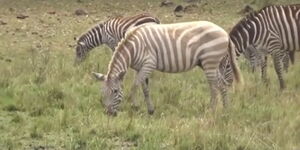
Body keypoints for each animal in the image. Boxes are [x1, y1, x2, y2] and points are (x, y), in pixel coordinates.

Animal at [92, 21, 243, 115]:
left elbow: (135, 85)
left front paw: (135, 106)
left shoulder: (149, 64)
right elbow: (145, 89)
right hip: (211, 63)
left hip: (209, 62)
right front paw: (150, 110)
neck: (133, 47)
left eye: (116, 91)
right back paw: (226, 109)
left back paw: (211, 110)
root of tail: (225, 33)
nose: (109, 114)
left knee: (214, 87)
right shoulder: (140, 68)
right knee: (222, 84)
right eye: (102, 92)